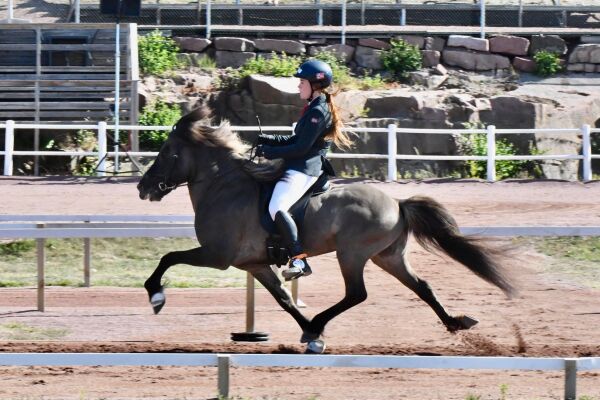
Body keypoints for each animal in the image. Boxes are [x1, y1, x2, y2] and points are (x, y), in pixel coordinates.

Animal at [138, 108, 512, 354]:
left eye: (167, 152)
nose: (144, 188)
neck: (223, 187)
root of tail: (397, 202)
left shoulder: (217, 256)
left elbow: (168, 257)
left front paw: (156, 296)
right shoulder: (254, 264)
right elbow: (285, 299)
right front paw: (309, 335)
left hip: (352, 254)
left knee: (356, 294)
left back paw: (321, 321)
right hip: (387, 257)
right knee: (422, 286)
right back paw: (455, 322)